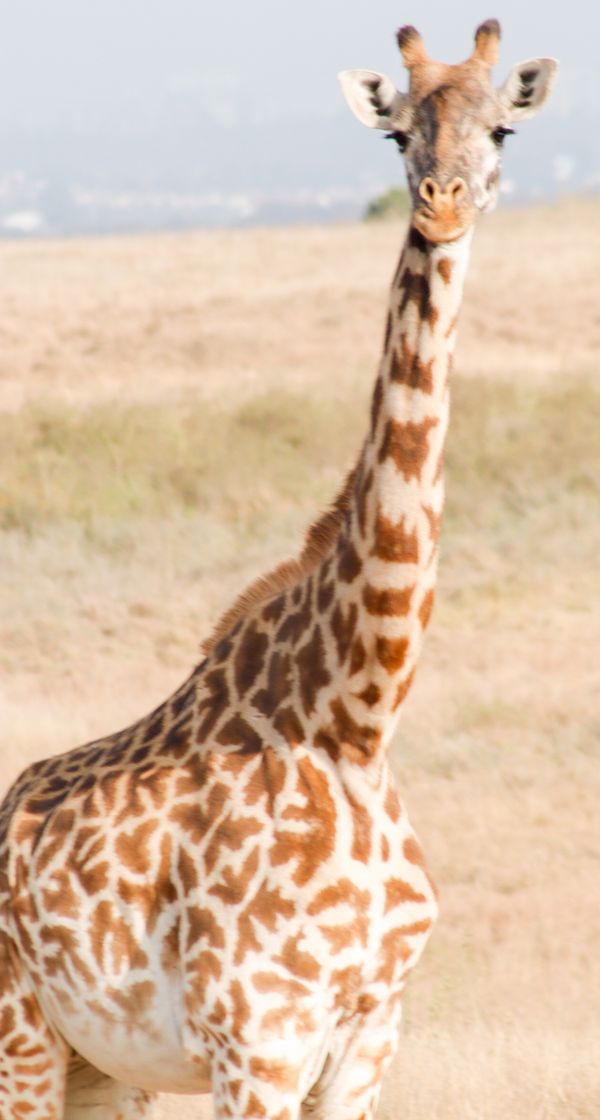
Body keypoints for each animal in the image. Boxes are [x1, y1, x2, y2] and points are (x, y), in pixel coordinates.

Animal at [0, 20, 557, 1120]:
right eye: (397, 135)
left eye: (503, 128)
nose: (441, 202)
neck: (356, 721)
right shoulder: (254, 1038)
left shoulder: (369, 1036)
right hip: (22, 1036)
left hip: (109, 1070)